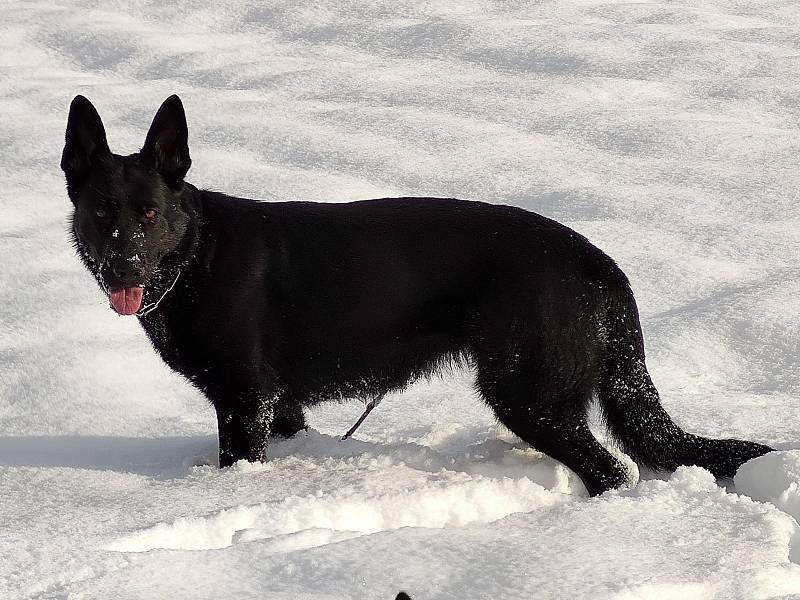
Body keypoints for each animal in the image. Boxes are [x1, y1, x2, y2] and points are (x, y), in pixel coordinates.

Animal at [59, 96, 772, 494]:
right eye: (101, 212)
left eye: (149, 214)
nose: (123, 268)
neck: (193, 256)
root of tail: (593, 257)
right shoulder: (278, 406)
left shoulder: (242, 404)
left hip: (527, 394)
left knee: (611, 471)